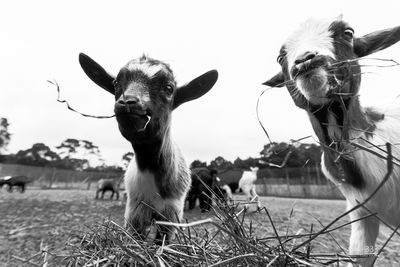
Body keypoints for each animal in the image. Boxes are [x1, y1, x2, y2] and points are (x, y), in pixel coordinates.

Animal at [79, 53, 217, 242]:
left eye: (169, 88)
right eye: (116, 83)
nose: (127, 102)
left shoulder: (171, 212)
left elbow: (161, 242)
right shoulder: (136, 210)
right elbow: (137, 239)